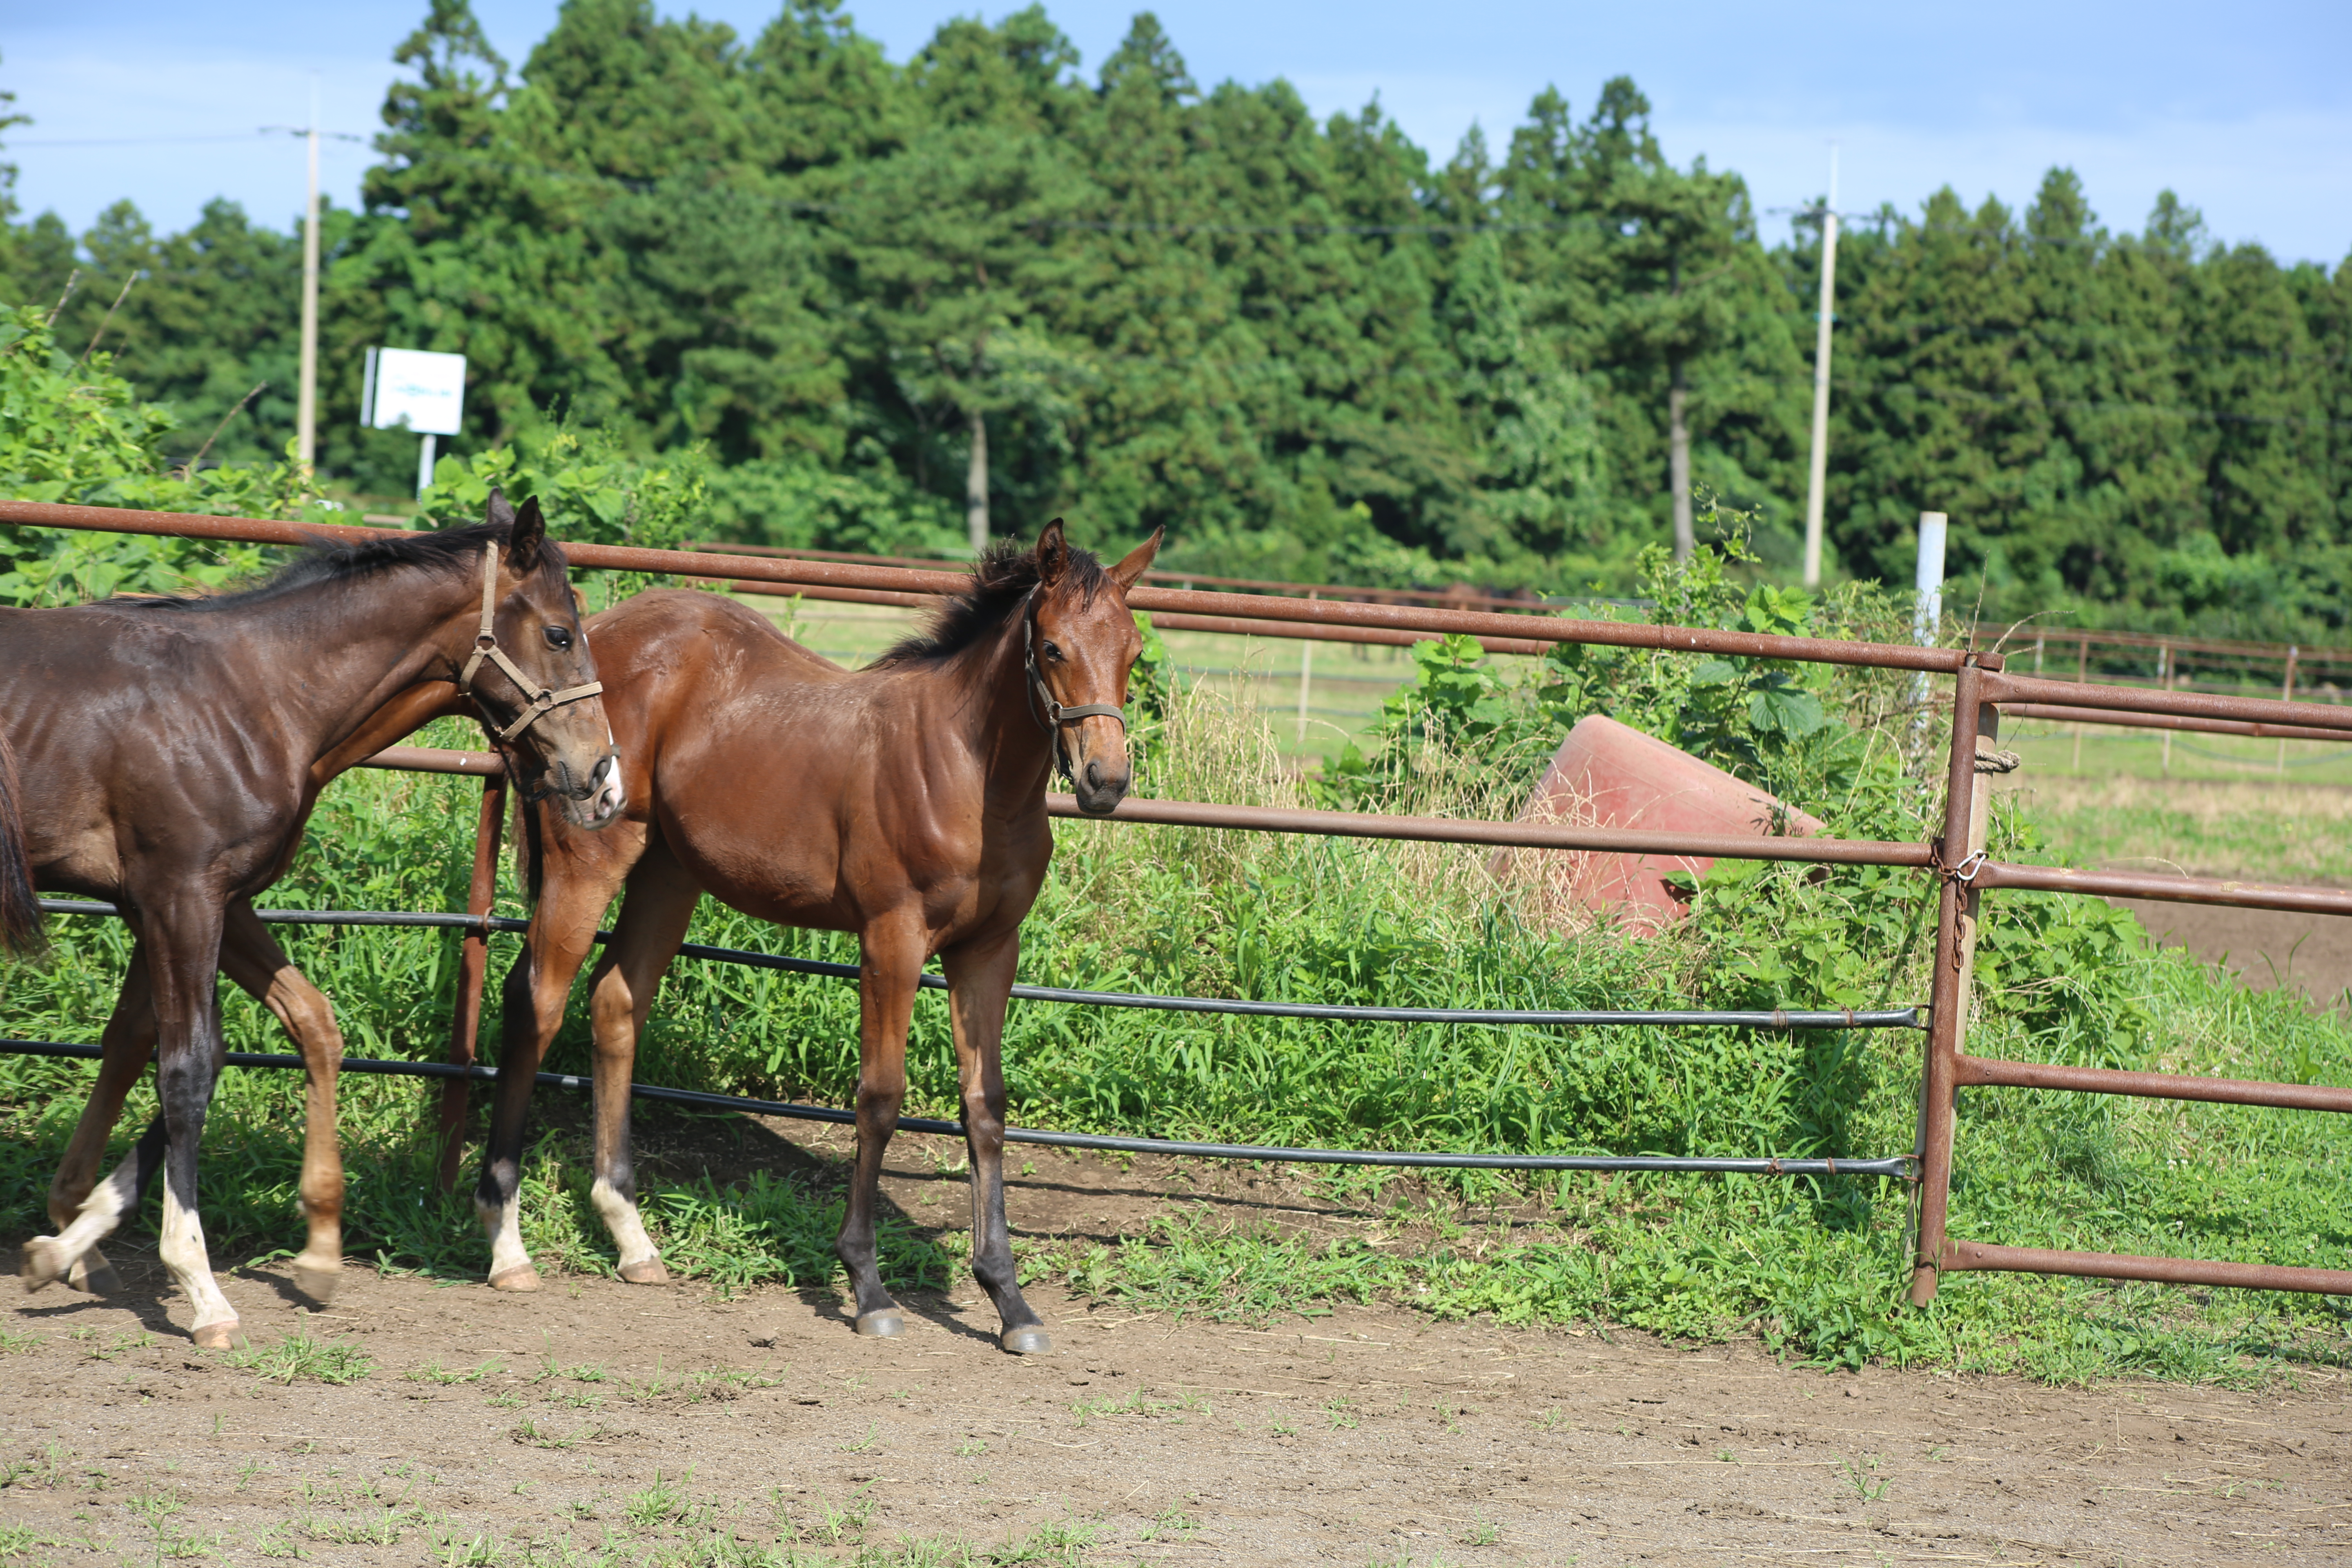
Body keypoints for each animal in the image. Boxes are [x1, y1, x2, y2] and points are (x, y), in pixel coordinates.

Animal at [0, 496, 626, 1345]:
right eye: (561, 633)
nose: (602, 780)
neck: (254, 697)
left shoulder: (208, 900)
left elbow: (297, 1027)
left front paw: (318, 1246)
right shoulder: (182, 895)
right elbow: (187, 1069)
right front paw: (199, 1288)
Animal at [482, 522, 1162, 1354]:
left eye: (1133, 649)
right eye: (1056, 648)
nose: (1106, 780)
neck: (970, 772)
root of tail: (594, 638)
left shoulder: (990, 950)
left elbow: (986, 1106)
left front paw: (1009, 1299)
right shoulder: (892, 939)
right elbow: (879, 1098)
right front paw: (868, 1286)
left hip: (668, 873)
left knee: (617, 1001)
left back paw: (631, 1237)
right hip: (590, 863)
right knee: (537, 1003)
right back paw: (506, 1246)